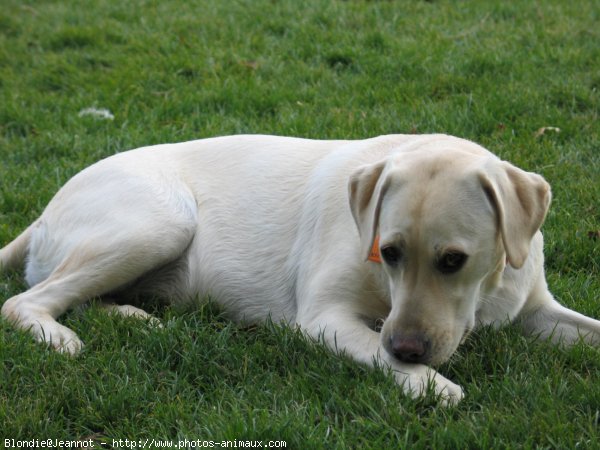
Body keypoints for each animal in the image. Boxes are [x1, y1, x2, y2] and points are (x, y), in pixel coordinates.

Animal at [1, 134, 600, 404]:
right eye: (388, 252)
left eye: (453, 261)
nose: (407, 347)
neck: (487, 291)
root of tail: (43, 213)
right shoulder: (325, 319)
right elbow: (409, 369)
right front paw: (432, 384)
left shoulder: (536, 309)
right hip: (160, 221)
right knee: (24, 300)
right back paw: (59, 338)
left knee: (72, 295)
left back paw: (133, 317)